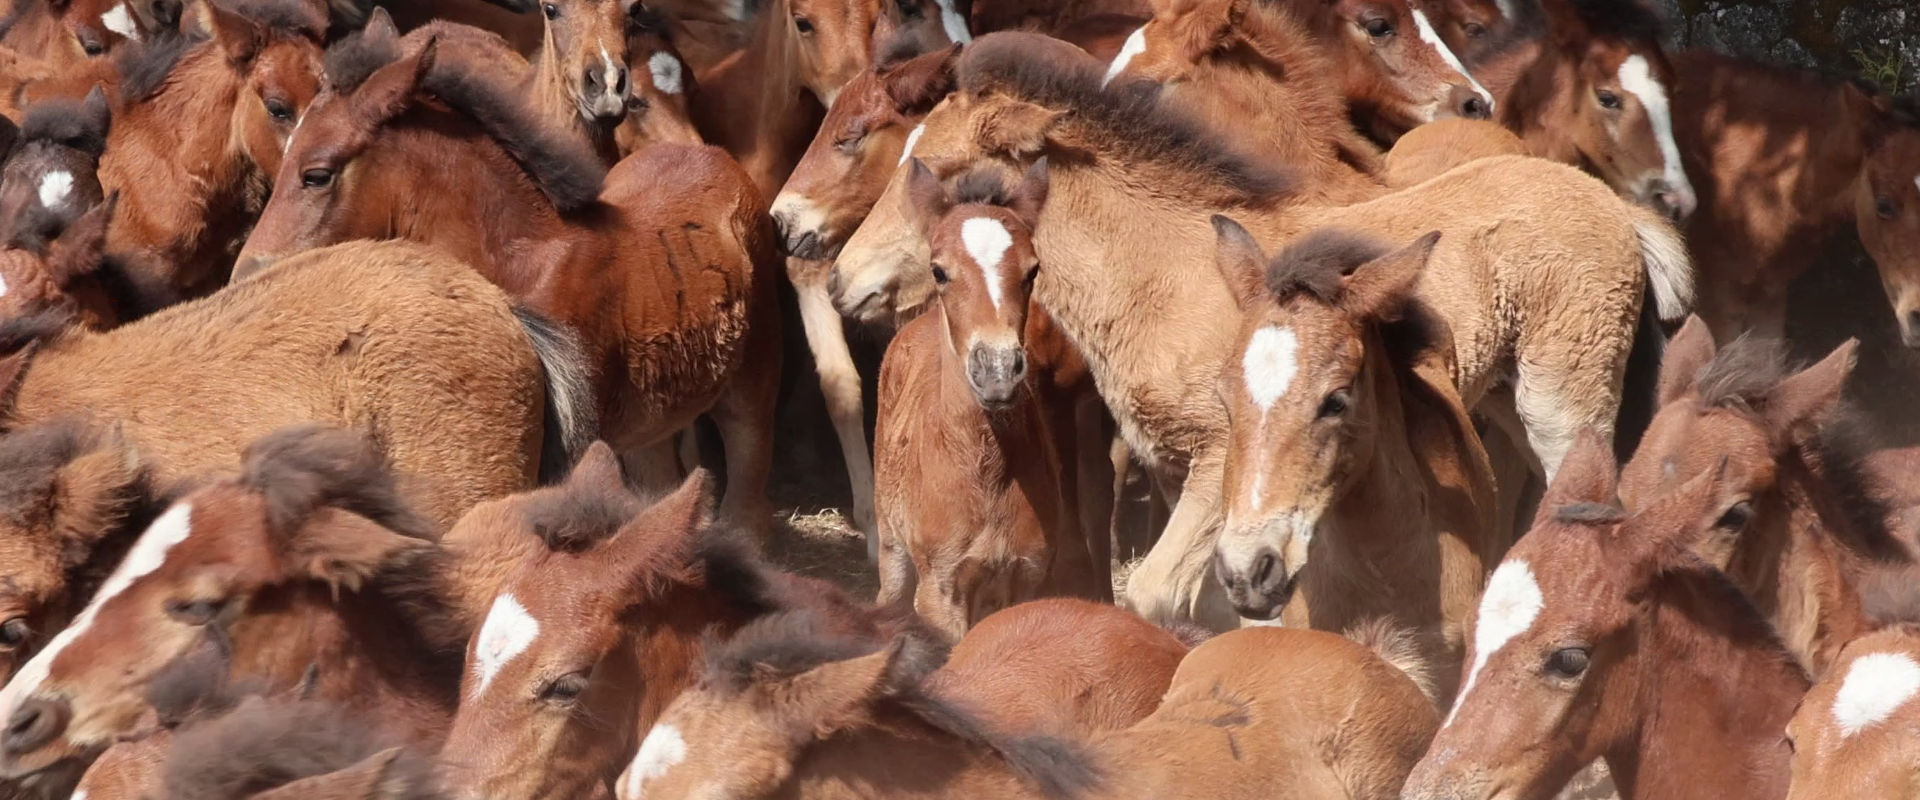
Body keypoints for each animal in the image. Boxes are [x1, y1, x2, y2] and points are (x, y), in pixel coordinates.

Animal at [874, 158, 1108, 637]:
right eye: (939, 270)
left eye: (1033, 271)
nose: (997, 370)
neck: (986, 474)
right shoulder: (940, 588)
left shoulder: (1030, 573)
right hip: (892, 547)